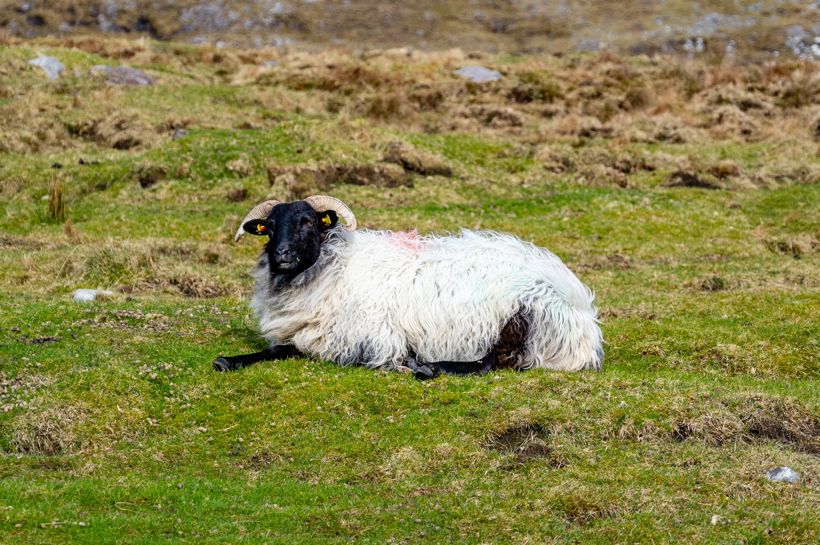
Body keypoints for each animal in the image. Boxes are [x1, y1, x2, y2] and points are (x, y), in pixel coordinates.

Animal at [215, 196, 604, 378]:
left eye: (308, 222)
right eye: (269, 227)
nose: (281, 254)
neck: (333, 268)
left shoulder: (367, 338)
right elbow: (277, 349)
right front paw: (227, 360)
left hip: (521, 315)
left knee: (492, 362)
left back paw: (428, 367)